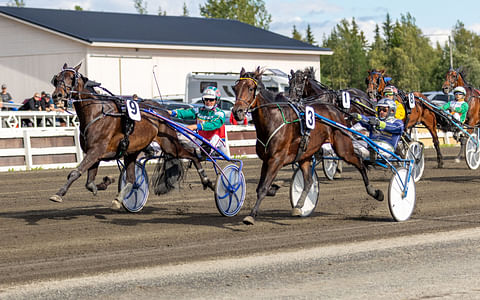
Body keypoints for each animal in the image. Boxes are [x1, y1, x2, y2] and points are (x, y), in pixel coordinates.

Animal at [49, 62, 214, 209]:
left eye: (71, 77)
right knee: (131, 179)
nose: (57, 95)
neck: (97, 113)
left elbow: (75, 172)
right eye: (57, 78)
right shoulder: (94, 152)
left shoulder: (96, 150)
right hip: (132, 151)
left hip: (169, 145)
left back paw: (207, 181)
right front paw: (105, 182)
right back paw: (118, 199)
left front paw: (58, 194)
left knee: (192, 155)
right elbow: (89, 183)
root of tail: (162, 110)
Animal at [231, 66, 384, 225]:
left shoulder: (276, 159)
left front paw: (251, 215)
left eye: (250, 88)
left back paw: (375, 191)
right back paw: (299, 206)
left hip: (343, 148)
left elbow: (263, 188)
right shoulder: (267, 160)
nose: (237, 112)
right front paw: (275, 188)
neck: (274, 119)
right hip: (305, 155)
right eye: (235, 88)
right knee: (309, 181)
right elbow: (262, 186)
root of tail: (334, 109)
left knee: (359, 162)